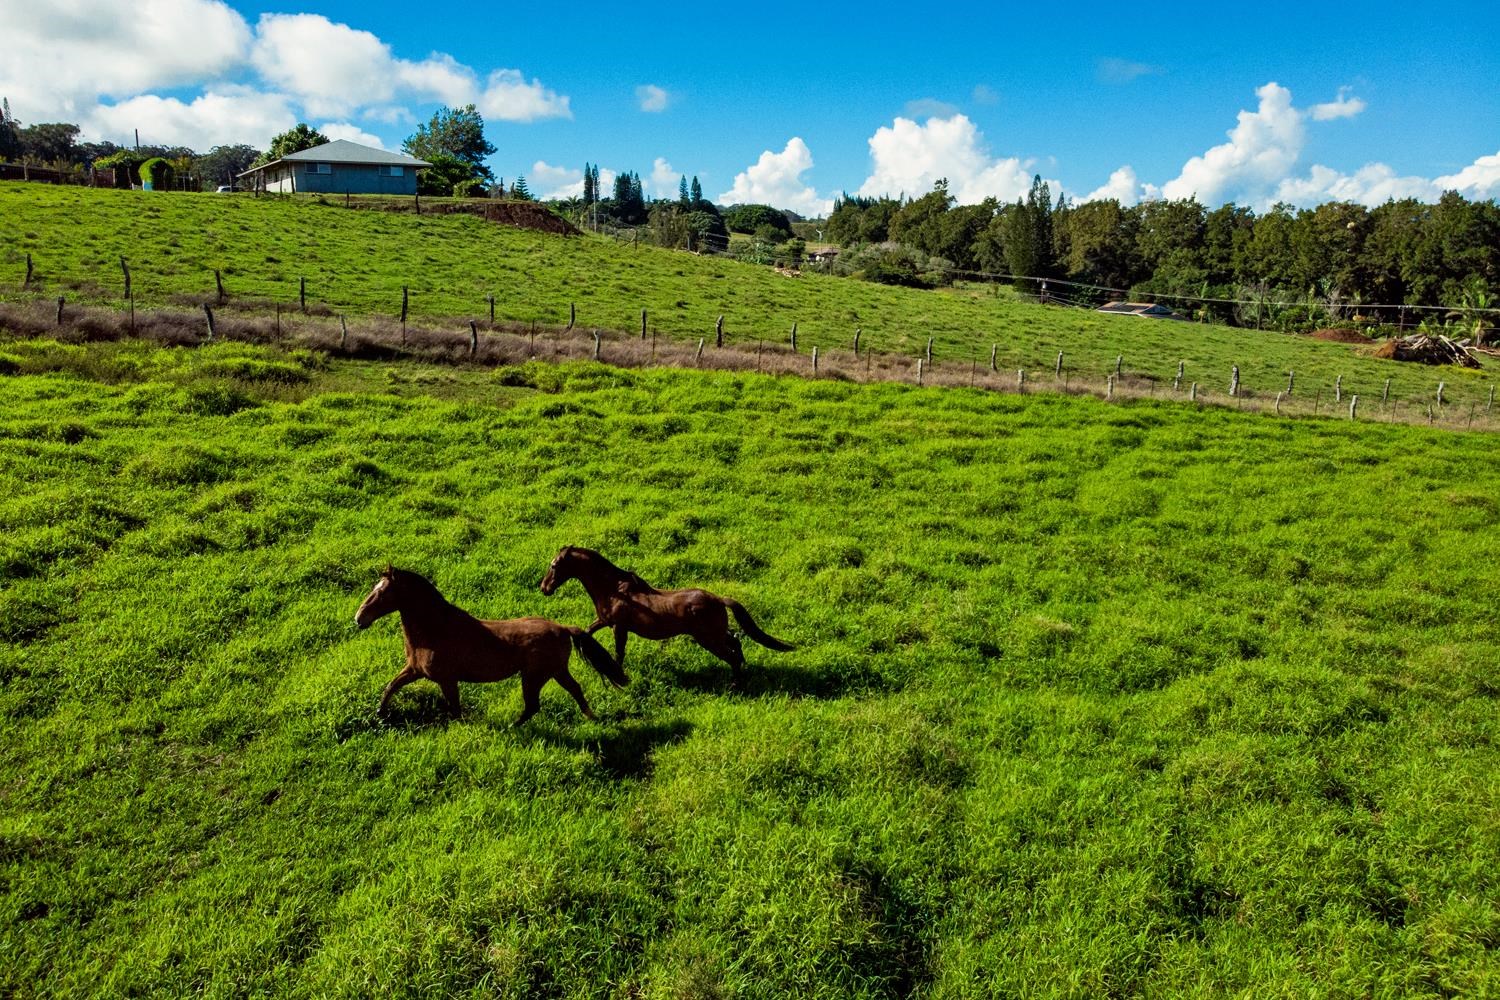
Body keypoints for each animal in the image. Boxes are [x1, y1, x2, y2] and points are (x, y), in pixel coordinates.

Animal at [355, 566, 627, 722]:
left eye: (382, 592)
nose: (359, 618)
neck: (435, 629)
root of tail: (562, 628)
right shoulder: (414, 670)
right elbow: (391, 686)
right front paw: (380, 714)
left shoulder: (447, 680)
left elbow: (455, 709)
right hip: (556, 671)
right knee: (575, 689)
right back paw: (592, 717)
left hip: (534, 676)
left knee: (533, 706)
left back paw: (512, 726)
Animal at [540, 548, 798, 680]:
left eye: (554, 566)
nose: (544, 588)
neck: (614, 589)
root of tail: (718, 599)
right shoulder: (605, 621)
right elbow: (588, 631)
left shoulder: (619, 628)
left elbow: (619, 652)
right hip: (715, 634)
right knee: (735, 642)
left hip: (708, 639)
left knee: (731, 655)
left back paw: (734, 685)